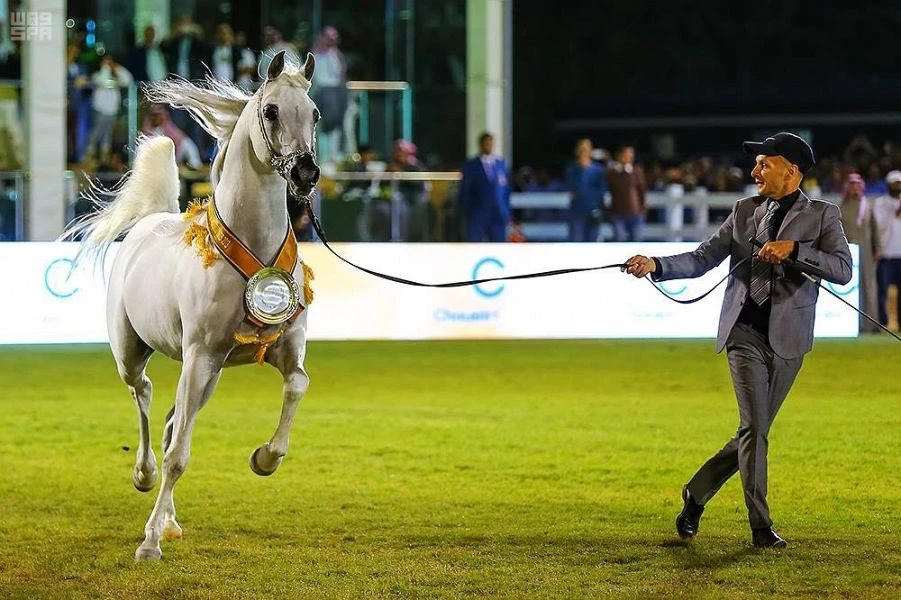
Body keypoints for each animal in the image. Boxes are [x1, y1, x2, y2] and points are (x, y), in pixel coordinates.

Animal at [61, 51, 321, 561]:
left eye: (316, 114)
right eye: (271, 111)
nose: (305, 174)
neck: (250, 249)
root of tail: (151, 220)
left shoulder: (282, 349)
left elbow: (297, 385)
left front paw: (264, 458)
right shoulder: (200, 354)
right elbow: (178, 456)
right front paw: (148, 545)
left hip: (208, 373)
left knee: (170, 422)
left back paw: (168, 519)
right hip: (138, 354)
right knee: (144, 397)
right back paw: (145, 480)